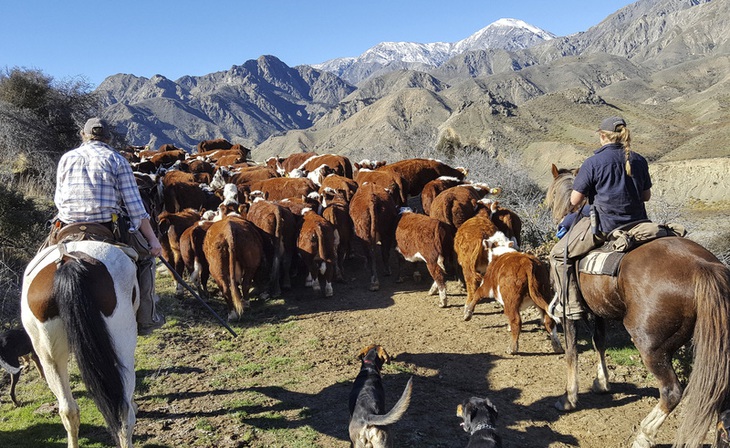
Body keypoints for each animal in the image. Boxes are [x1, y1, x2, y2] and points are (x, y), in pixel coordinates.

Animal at [544, 164, 728, 448]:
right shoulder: (599, 311)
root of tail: (703, 267)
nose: (553, 213)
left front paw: (569, 398)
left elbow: (572, 351)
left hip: (652, 347)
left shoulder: (569, 311)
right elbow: (599, 341)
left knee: (672, 392)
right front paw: (601, 382)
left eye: (552, 194)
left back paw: (644, 435)